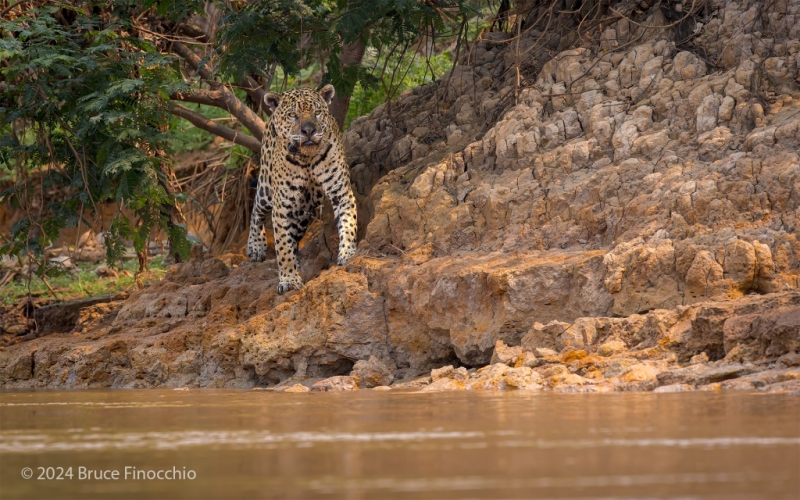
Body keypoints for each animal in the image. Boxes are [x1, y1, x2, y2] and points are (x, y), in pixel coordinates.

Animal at [247, 84, 358, 295]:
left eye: (317, 113)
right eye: (292, 115)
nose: (308, 131)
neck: (307, 159)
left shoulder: (341, 192)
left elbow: (348, 223)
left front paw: (348, 252)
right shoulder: (282, 207)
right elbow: (282, 246)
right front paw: (289, 280)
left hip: (302, 210)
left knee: (294, 235)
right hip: (266, 187)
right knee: (256, 209)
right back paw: (255, 247)